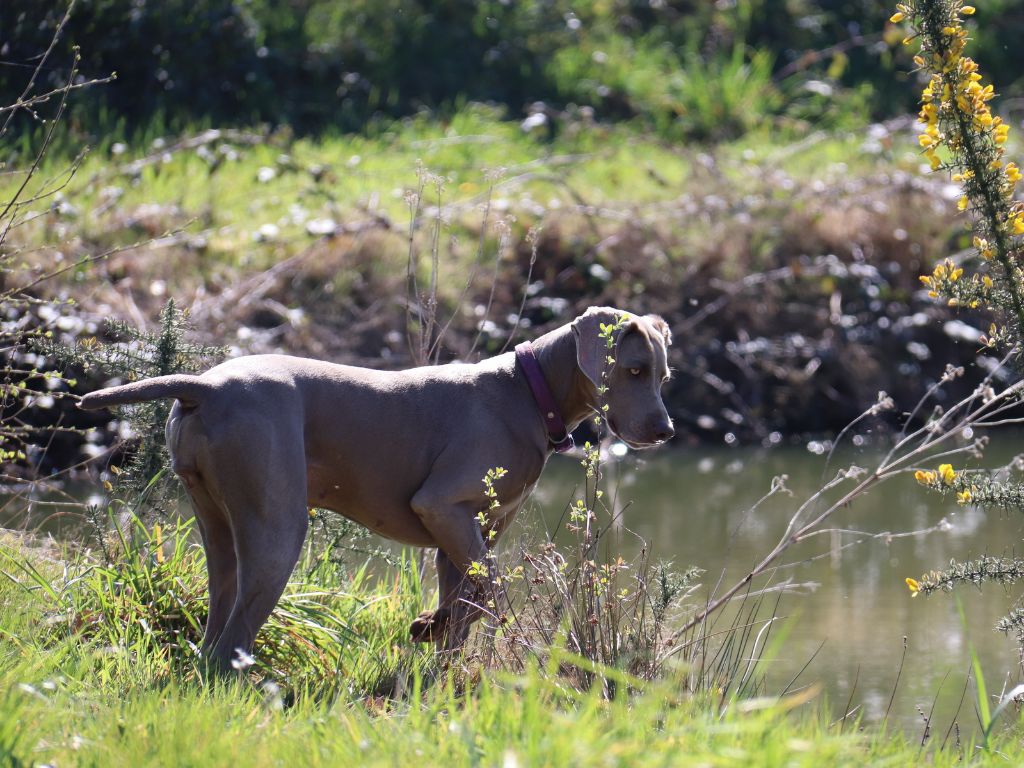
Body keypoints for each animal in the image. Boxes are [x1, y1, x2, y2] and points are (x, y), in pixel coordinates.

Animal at [77, 305, 671, 667]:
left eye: (662, 376)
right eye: (634, 370)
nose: (665, 431)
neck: (527, 391)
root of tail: (206, 386)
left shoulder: (467, 533)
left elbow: (469, 601)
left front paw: (438, 654)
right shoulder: (441, 506)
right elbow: (490, 591)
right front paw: (430, 628)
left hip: (216, 519)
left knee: (219, 609)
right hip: (277, 527)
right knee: (235, 636)